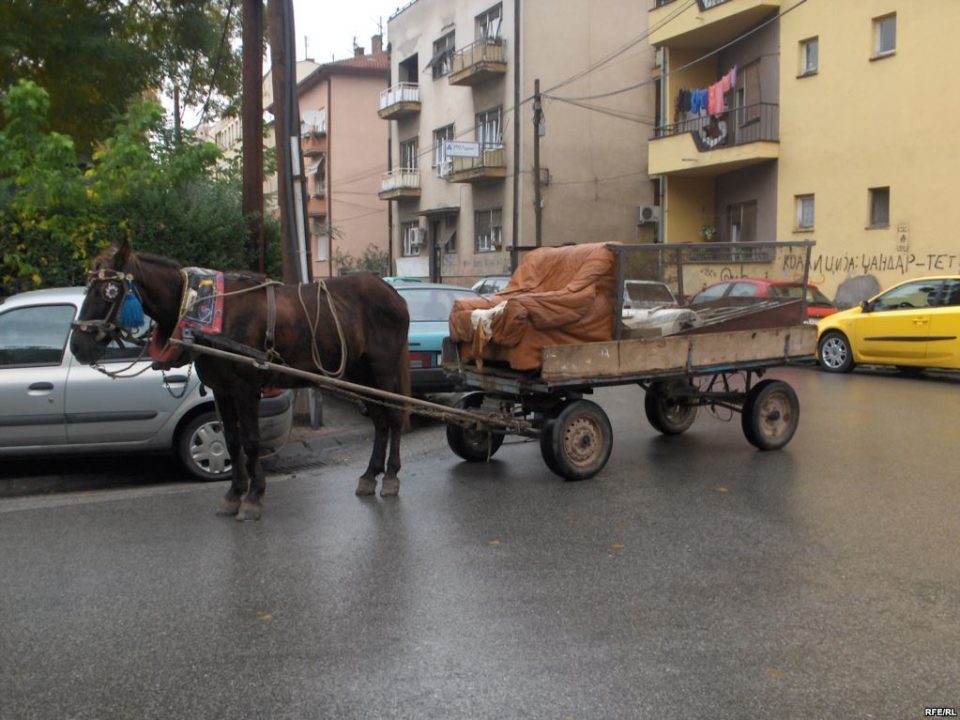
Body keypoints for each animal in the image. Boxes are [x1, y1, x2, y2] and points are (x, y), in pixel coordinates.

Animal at [70, 242, 408, 516]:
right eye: (89, 289)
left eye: (107, 291)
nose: (78, 346)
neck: (205, 312)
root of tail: (393, 293)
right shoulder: (222, 391)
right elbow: (231, 442)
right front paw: (234, 495)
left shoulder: (246, 388)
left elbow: (251, 441)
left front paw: (254, 498)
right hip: (359, 373)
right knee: (380, 420)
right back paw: (370, 475)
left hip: (384, 369)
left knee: (393, 418)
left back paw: (391, 476)